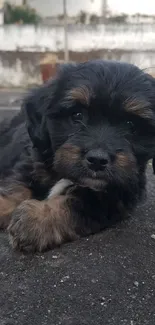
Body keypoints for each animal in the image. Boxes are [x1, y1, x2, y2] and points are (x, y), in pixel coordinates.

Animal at [0, 59, 155, 251]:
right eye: (77, 115)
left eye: (130, 124)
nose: (97, 160)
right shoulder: (31, 162)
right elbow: (16, 187)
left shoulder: (118, 193)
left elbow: (75, 204)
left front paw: (34, 220)